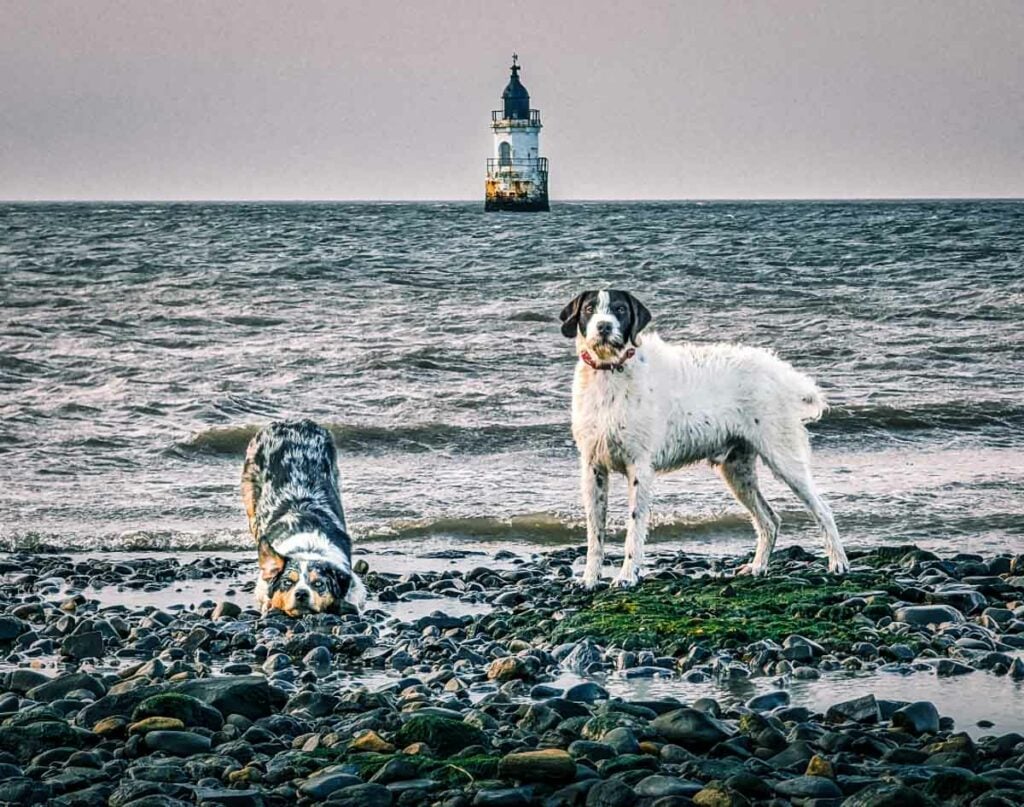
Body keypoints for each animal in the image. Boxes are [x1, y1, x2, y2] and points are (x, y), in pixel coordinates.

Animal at [240, 419, 366, 614]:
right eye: (287, 582)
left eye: (319, 584)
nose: (301, 593)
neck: (308, 546)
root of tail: (290, 422)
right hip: (250, 501)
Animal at [561, 288, 847, 585]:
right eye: (589, 309)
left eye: (620, 309)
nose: (604, 327)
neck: (610, 373)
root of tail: (780, 372)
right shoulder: (593, 470)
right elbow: (595, 533)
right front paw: (589, 579)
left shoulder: (639, 467)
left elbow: (634, 527)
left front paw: (628, 575)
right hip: (737, 471)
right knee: (770, 520)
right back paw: (758, 566)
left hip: (784, 458)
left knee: (822, 509)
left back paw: (838, 562)